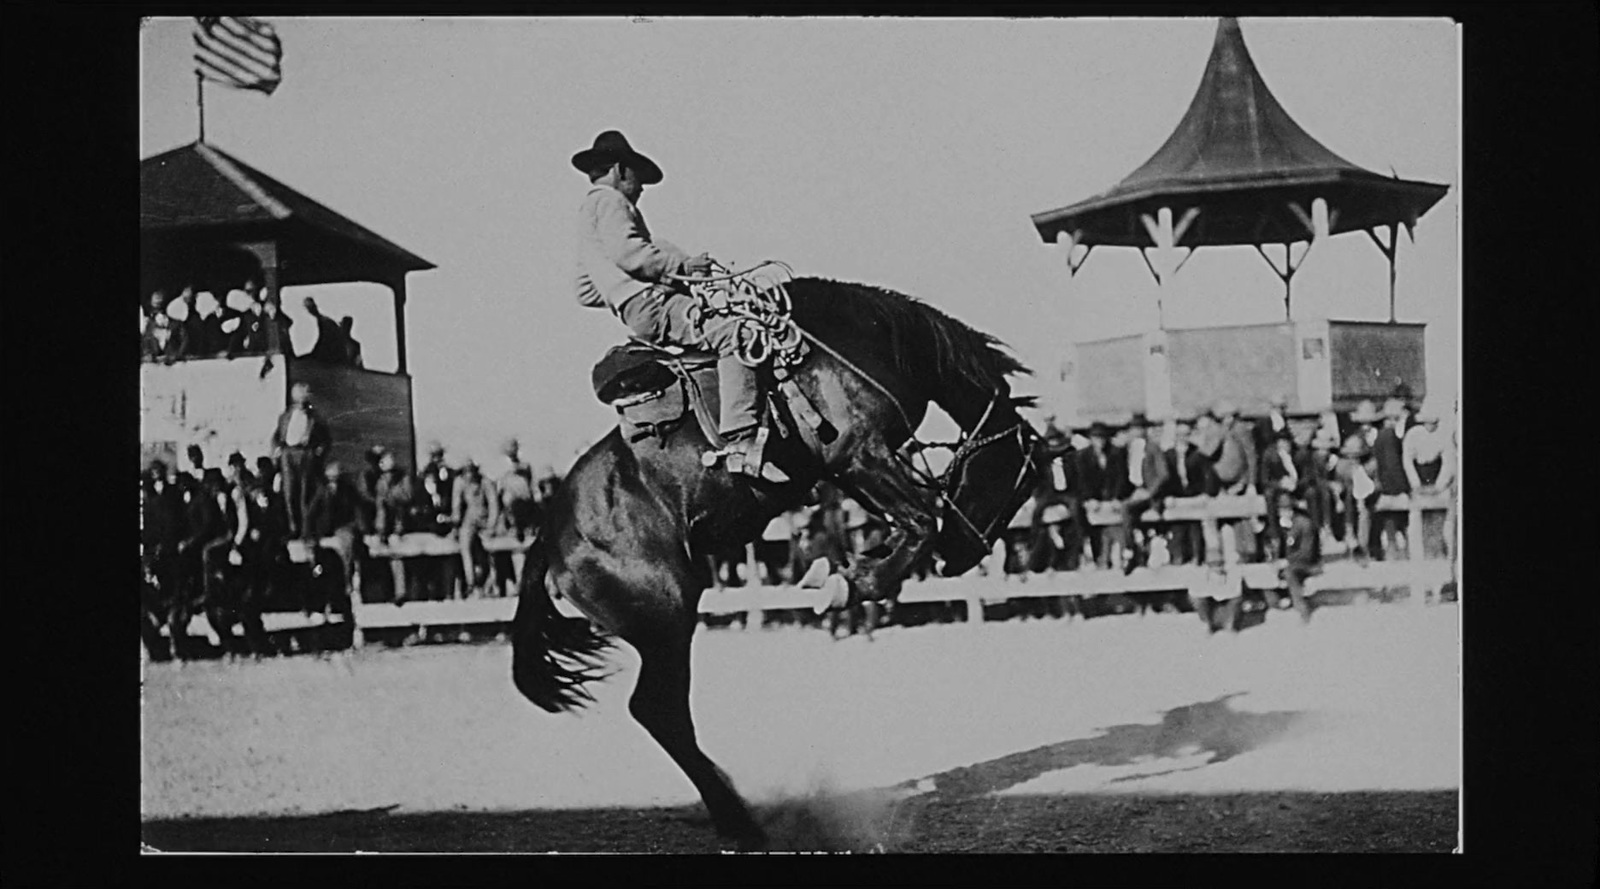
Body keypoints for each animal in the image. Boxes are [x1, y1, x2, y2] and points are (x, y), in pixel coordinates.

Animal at [508, 278, 1036, 844]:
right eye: (1018, 481)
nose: (964, 557)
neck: (863, 342)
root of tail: (551, 534)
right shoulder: (860, 454)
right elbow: (921, 522)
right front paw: (847, 584)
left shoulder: (850, 471)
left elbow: (904, 523)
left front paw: (842, 573)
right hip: (667, 621)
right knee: (659, 712)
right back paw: (741, 820)